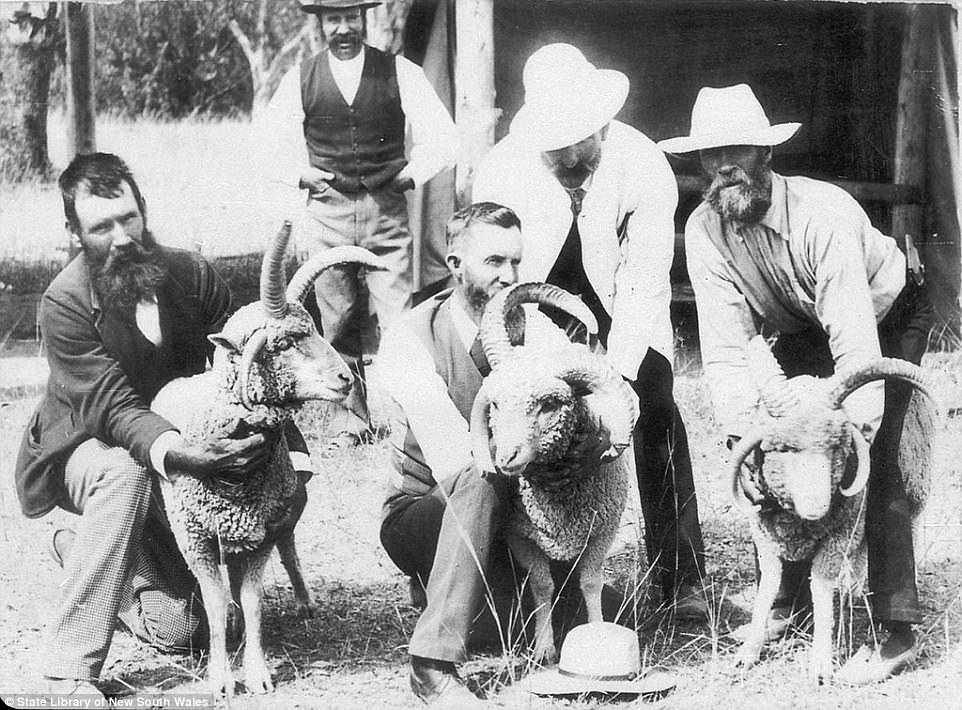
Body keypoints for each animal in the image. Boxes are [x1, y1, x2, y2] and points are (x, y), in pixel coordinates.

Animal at [152, 224, 384, 696]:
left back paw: (304, 602)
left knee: (290, 551)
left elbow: (254, 600)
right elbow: (216, 603)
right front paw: (222, 678)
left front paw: (256, 673)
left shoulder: (259, 535)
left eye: (312, 328)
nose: (345, 378)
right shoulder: (197, 540)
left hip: (282, 513)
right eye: (283, 343)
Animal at [466, 284, 636, 668]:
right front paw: (544, 647)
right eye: (495, 404)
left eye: (549, 404)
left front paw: (596, 634)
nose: (505, 458)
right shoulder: (521, 536)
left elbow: (590, 583)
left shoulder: (602, 532)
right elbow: (541, 586)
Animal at [724, 336, 932, 688]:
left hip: (913, 488)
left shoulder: (838, 538)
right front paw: (749, 650)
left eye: (836, 446)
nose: (816, 506)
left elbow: (821, 594)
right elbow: (767, 590)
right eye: (782, 449)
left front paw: (820, 663)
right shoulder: (767, 539)